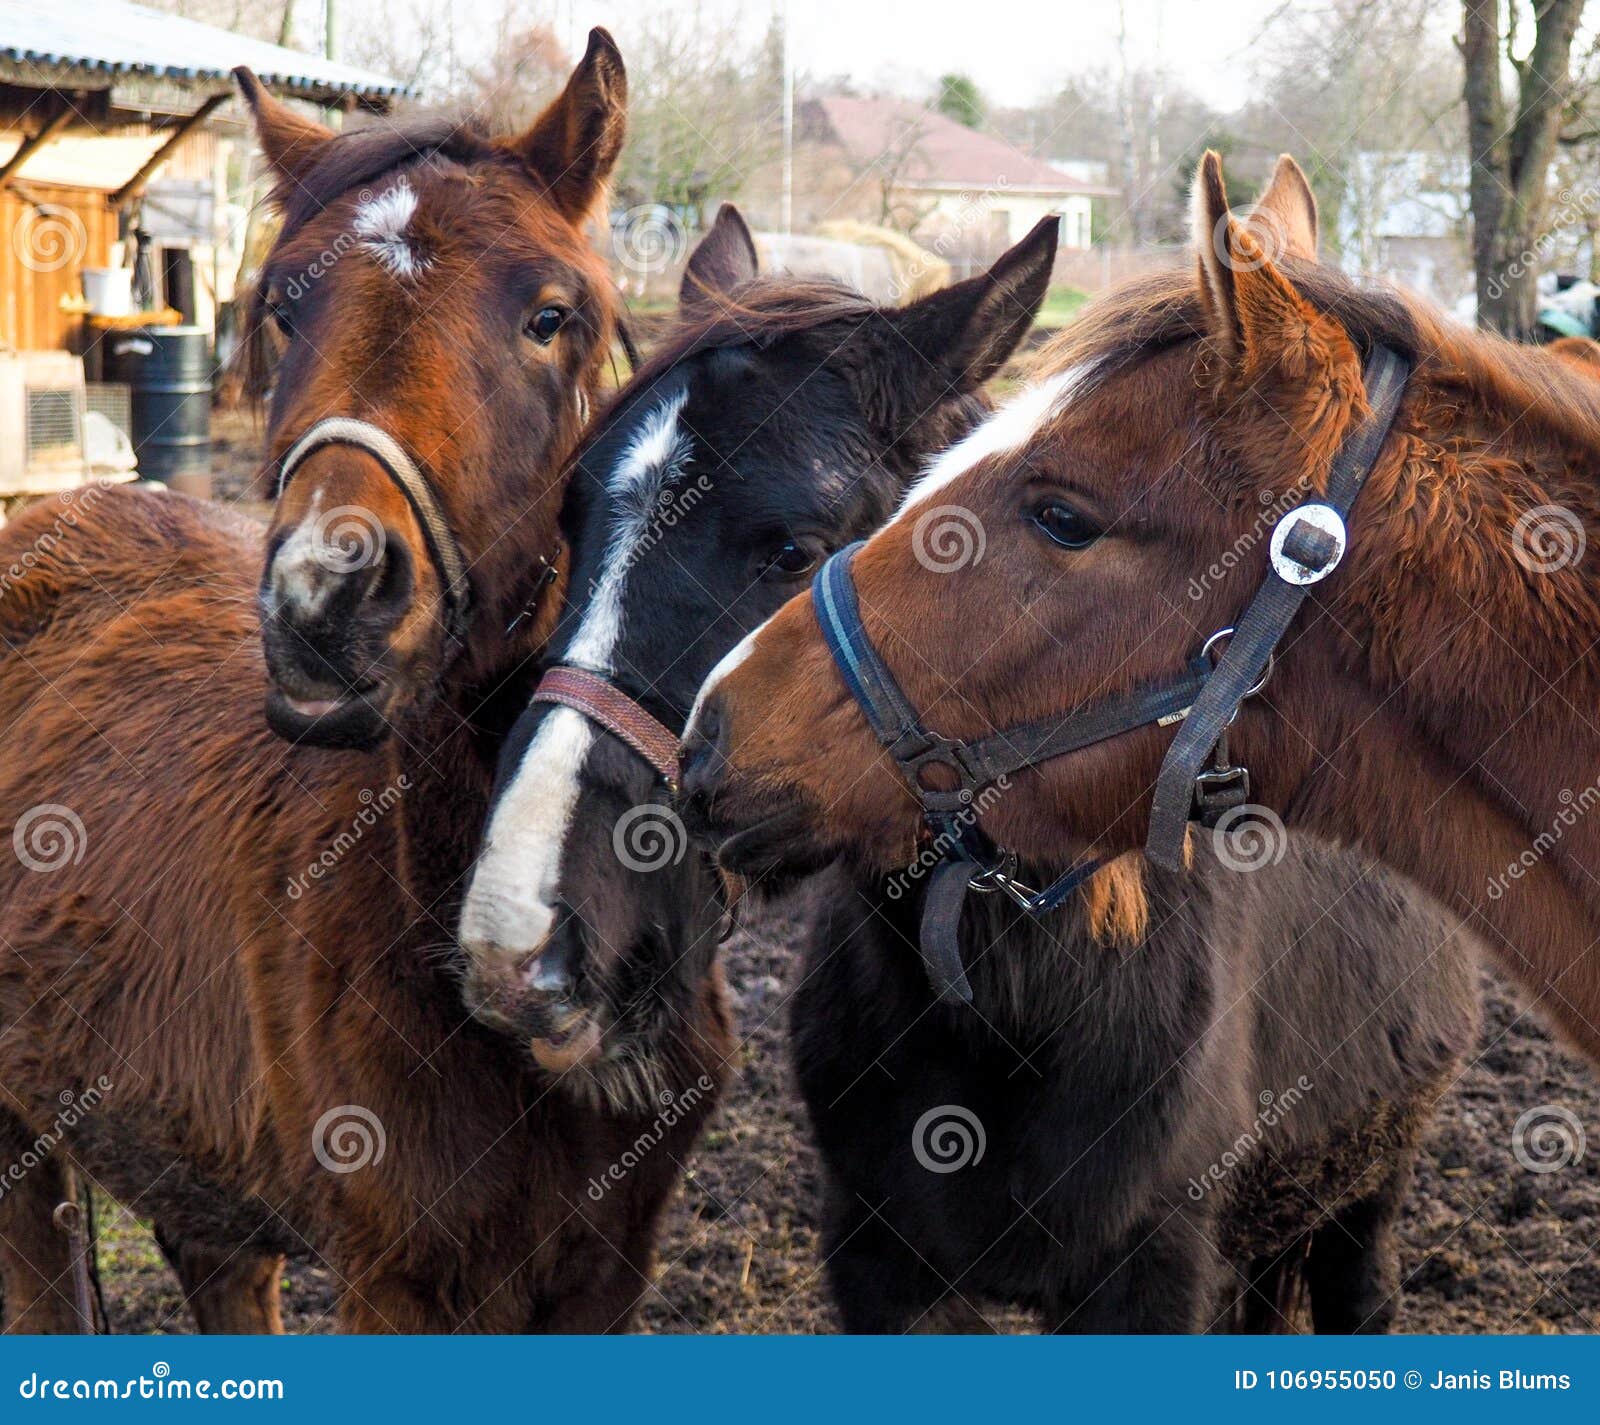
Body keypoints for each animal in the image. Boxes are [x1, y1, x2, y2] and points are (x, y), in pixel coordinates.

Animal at [461, 209, 1477, 1331]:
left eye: (790, 549)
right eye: (573, 520)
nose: (519, 938)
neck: (1019, 1007)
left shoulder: (1156, 1277)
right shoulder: (879, 1258)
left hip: (1367, 1185)